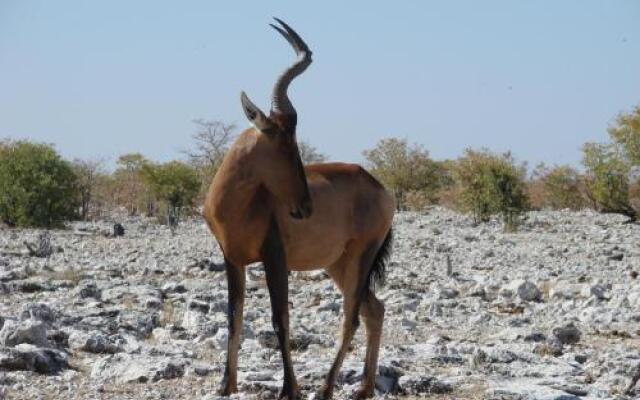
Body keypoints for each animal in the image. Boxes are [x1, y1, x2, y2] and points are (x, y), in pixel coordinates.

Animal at [205, 18, 396, 400]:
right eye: (282, 140)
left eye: (295, 139)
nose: (305, 207)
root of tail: (379, 187)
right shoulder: (231, 258)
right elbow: (233, 317)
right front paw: (225, 385)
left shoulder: (274, 256)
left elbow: (281, 318)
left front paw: (288, 389)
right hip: (339, 264)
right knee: (375, 309)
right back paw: (364, 388)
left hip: (361, 256)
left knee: (352, 316)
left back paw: (325, 388)